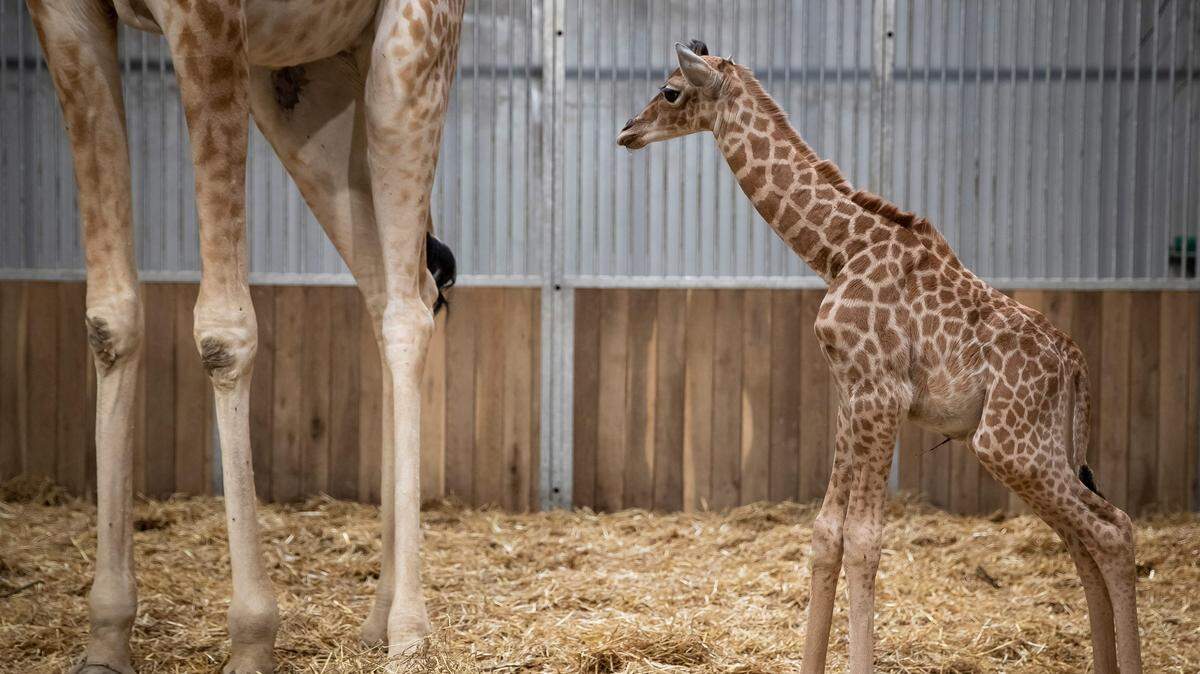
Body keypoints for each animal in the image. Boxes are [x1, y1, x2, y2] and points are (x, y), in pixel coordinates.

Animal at [26, 0, 464, 671]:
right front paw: (104, 639)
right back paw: (377, 620)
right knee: (396, 287)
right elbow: (109, 319)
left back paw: (409, 633)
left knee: (407, 313)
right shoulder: (63, 17)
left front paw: (253, 638)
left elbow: (223, 332)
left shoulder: (207, 18)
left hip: (409, 52)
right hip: (305, 86)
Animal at [618, 41, 1142, 673]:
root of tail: (1076, 364)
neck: (839, 250)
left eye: (670, 90)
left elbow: (864, 541)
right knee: (1082, 540)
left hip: (1007, 443)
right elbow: (826, 533)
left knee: (1113, 529)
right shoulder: (851, 395)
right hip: (1042, 448)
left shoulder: (882, 395)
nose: (627, 131)